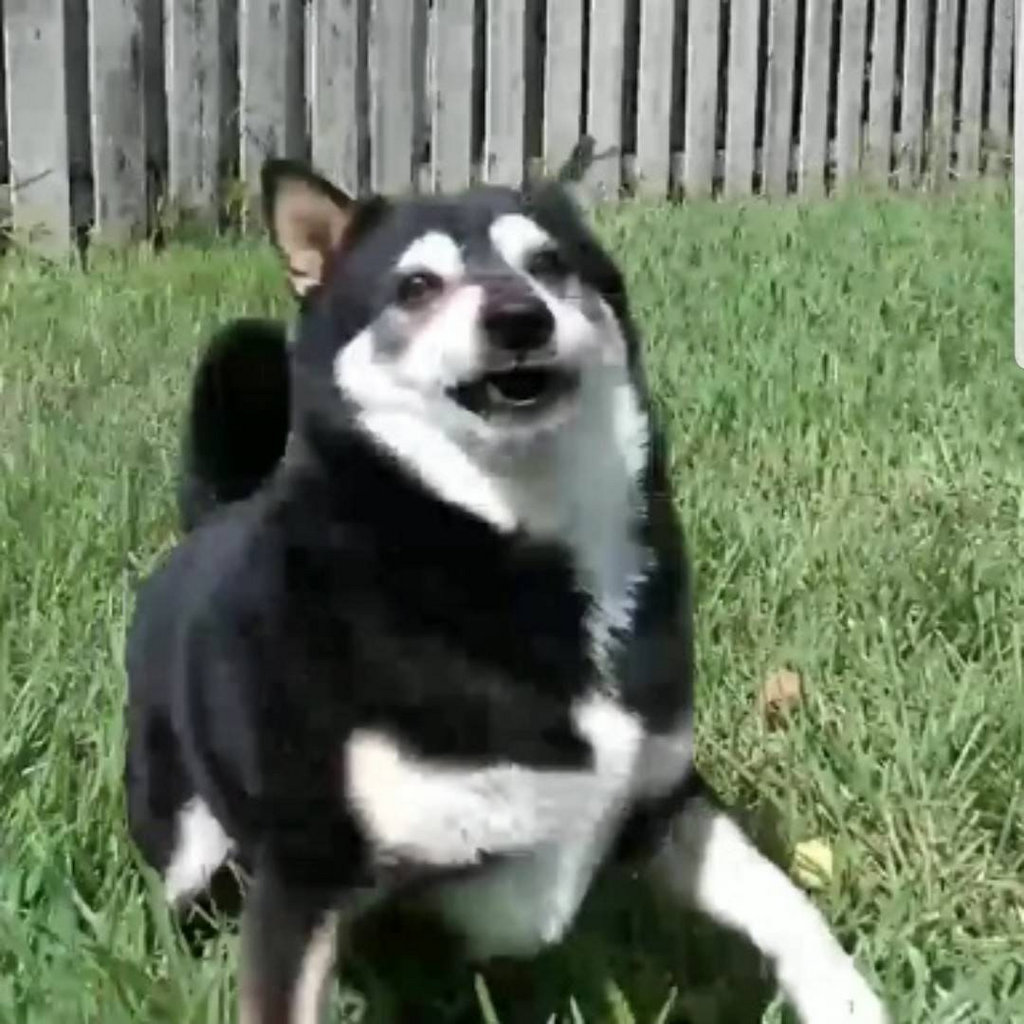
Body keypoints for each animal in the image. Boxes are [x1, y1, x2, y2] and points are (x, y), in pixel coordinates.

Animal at [124, 158, 888, 1024]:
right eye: (417, 285)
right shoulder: (307, 873)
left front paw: (847, 1000)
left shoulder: (660, 798)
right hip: (183, 829)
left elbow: (780, 898)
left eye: (549, 264)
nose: (519, 317)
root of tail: (213, 516)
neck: (504, 549)